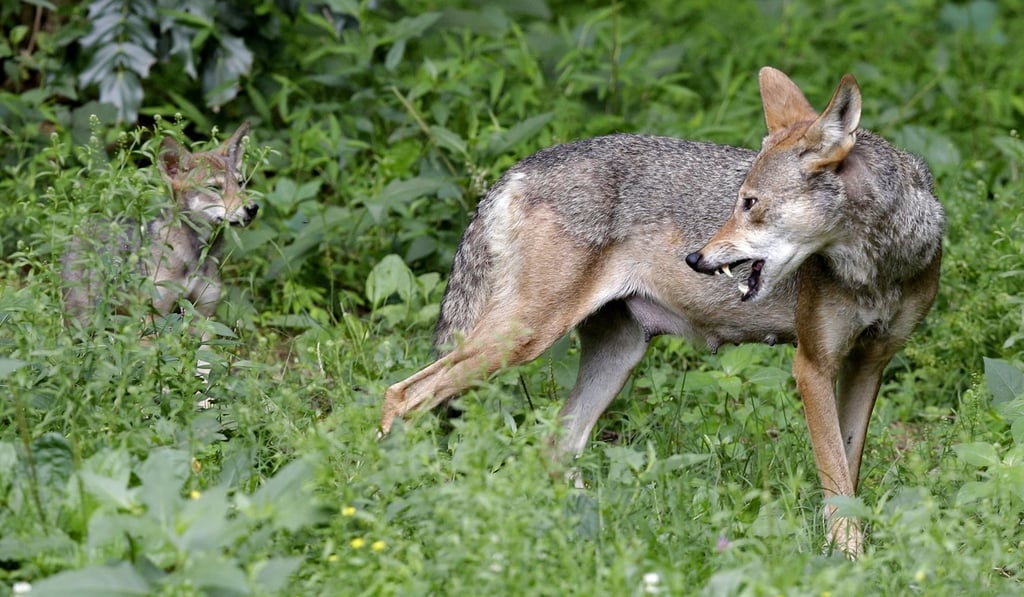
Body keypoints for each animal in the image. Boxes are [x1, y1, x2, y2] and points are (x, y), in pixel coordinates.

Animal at [62, 121, 258, 372]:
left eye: (241, 183)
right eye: (214, 188)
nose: (253, 208)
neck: (195, 257)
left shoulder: (203, 317)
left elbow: (203, 367)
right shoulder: (152, 319)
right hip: (84, 323)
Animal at [380, 68, 944, 556]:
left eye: (749, 203)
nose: (695, 258)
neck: (881, 265)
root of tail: (518, 169)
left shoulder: (869, 363)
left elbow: (848, 470)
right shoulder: (811, 365)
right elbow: (835, 477)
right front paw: (848, 558)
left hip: (616, 357)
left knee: (556, 446)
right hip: (520, 342)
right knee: (401, 395)